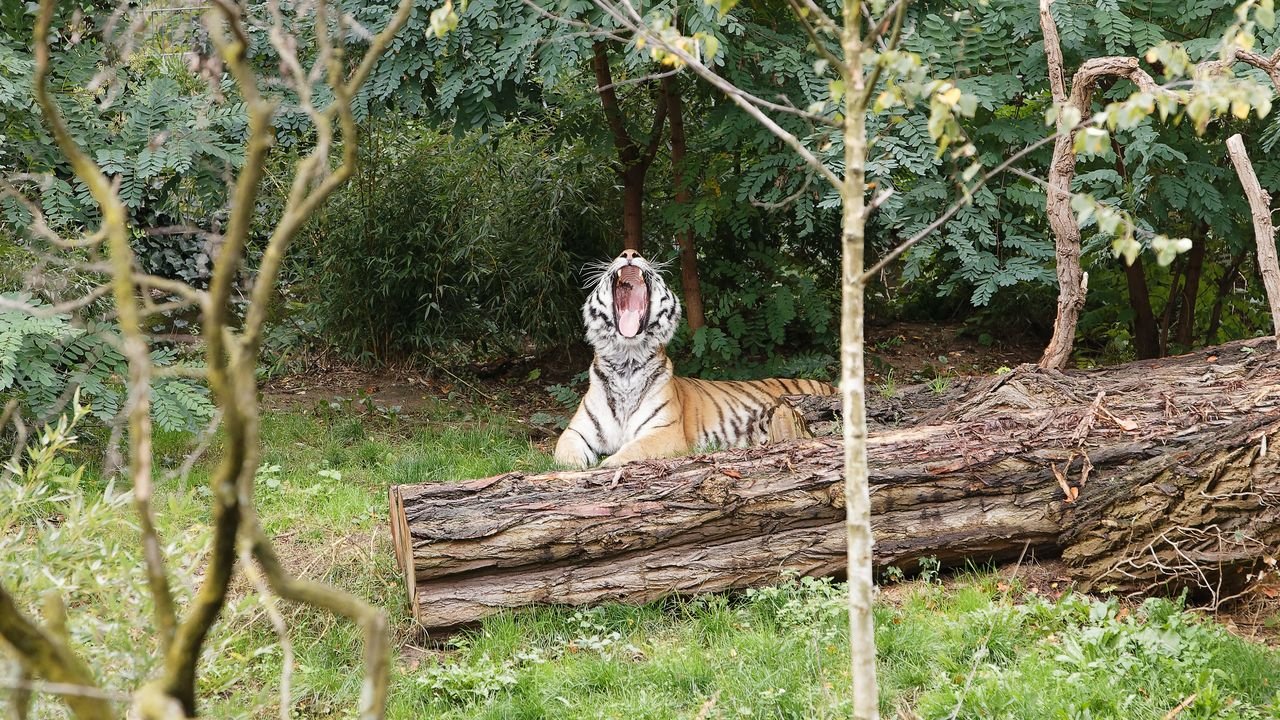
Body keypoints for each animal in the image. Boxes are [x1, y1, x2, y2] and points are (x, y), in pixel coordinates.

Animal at [552, 249, 839, 468]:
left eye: (637, 254)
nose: (630, 253)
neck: (627, 362)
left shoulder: (664, 432)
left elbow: (630, 452)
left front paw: (605, 464)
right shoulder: (575, 432)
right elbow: (564, 454)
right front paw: (576, 469)